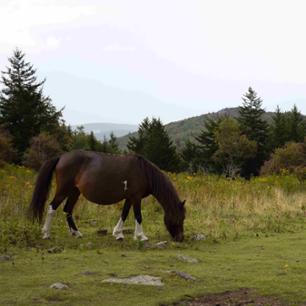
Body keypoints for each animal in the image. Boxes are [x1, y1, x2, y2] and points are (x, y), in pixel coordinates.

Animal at [29, 150, 186, 241]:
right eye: (179, 218)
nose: (180, 238)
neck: (144, 172)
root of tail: (61, 157)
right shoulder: (136, 197)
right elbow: (138, 216)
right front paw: (141, 236)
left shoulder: (129, 197)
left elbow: (124, 214)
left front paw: (118, 234)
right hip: (63, 190)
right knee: (52, 207)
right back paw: (46, 234)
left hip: (74, 191)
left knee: (68, 210)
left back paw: (76, 233)